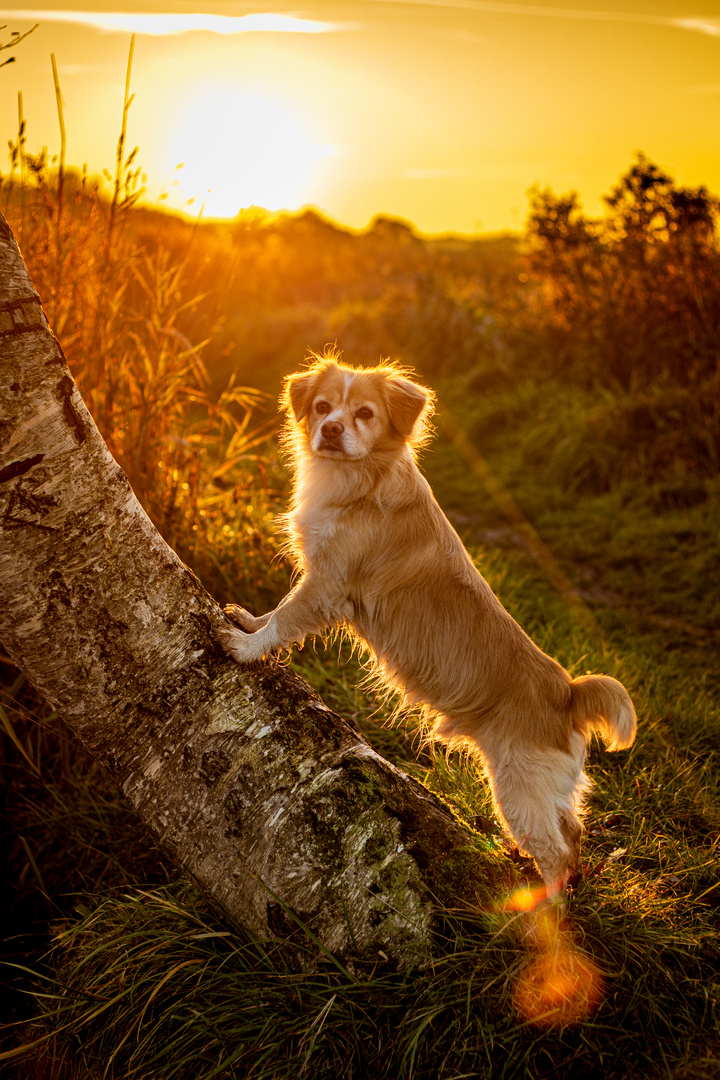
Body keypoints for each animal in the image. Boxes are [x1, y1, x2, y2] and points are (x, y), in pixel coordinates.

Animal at [215, 352, 634, 894]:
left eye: (365, 414)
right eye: (323, 407)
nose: (330, 429)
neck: (359, 481)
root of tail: (567, 693)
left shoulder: (327, 585)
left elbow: (286, 617)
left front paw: (246, 647)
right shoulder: (319, 578)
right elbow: (277, 610)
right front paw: (248, 621)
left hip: (517, 788)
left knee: (557, 852)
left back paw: (541, 906)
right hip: (547, 791)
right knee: (574, 829)